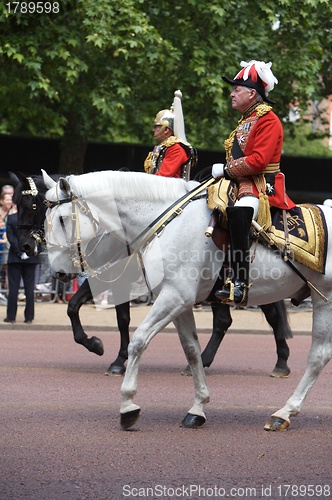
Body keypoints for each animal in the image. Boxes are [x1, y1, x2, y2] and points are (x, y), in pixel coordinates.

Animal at [41, 170, 332, 432]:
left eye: (63, 219)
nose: (59, 273)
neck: (168, 222)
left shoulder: (174, 297)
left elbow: (138, 339)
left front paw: (127, 405)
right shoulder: (178, 302)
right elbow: (190, 350)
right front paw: (198, 408)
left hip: (324, 299)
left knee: (316, 355)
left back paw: (283, 410)